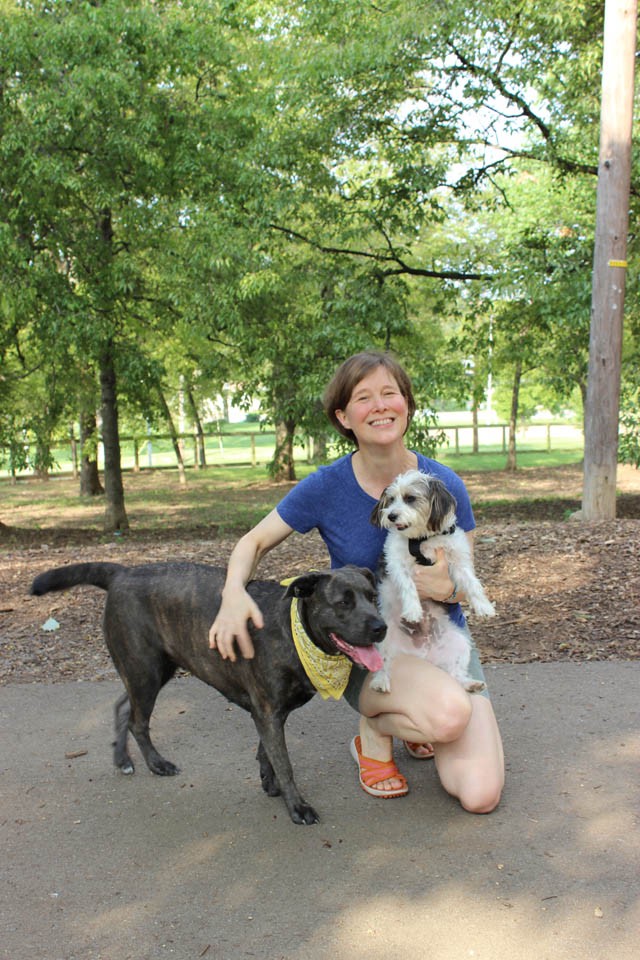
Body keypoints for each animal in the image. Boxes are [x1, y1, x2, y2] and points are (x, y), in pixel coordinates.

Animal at [370, 470, 496, 688]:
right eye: (392, 499)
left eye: (410, 498)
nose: (391, 515)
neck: (423, 539)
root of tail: (424, 655)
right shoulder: (396, 562)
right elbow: (408, 586)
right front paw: (413, 610)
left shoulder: (458, 560)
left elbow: (472, 583)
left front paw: (483, 607)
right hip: (383, 640)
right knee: (383, 663)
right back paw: (381, 681)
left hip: (460, 644)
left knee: (455, 674)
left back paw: (470, 684)